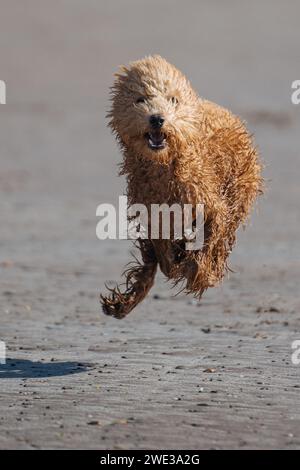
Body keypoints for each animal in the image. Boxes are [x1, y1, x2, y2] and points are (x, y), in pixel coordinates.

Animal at [101, 55, 262, 320]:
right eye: (140, 99)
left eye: (172, 99)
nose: (157, 118)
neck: (164, 165)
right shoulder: (150, 213)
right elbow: (159, 258)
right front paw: (126, 300)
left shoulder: (212, 204)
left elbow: (210, 242)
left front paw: (197, 270)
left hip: (240, 188)